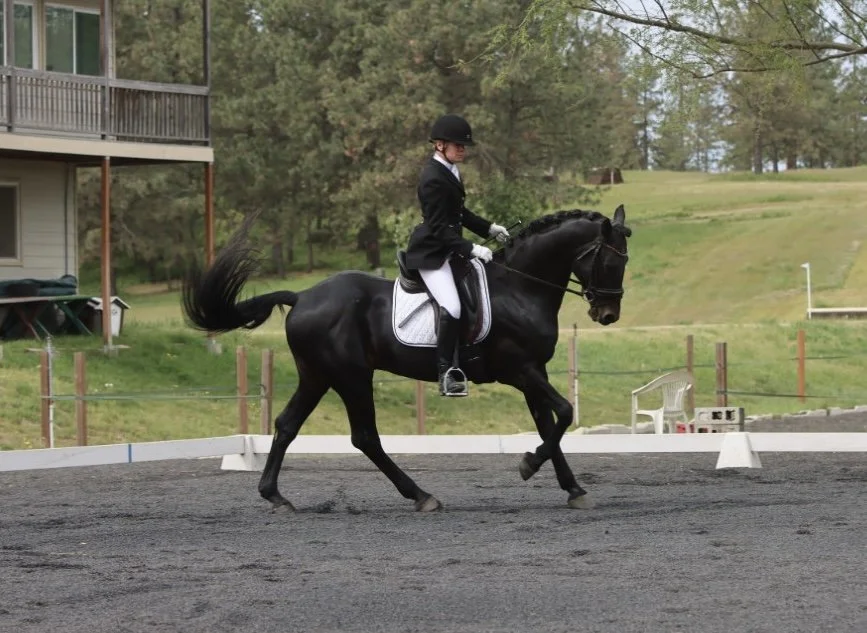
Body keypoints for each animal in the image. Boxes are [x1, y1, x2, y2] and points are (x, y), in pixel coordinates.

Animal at [181, 205, 631, 512]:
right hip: (351, 376)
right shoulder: (521, 369)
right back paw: (421, 495)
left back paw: (275, 496)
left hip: (318, 376)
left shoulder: (532, 372)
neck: (519, 287)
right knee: (364, 437)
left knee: (288, 425)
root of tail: (303, 296)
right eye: (610, 259)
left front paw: (572, 488)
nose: (608, 314)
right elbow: (564, 413)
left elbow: (549, 424)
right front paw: (529, 465)